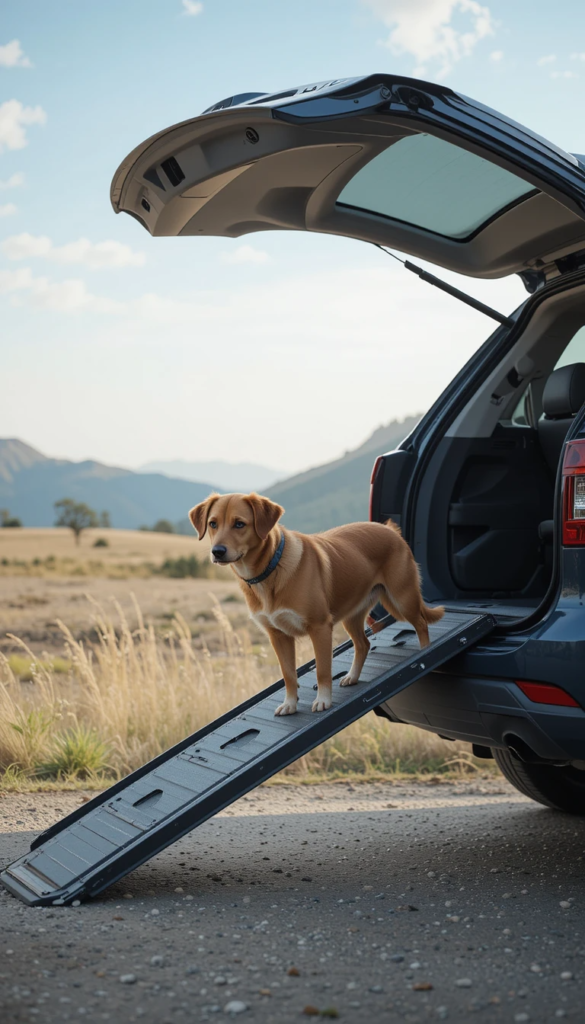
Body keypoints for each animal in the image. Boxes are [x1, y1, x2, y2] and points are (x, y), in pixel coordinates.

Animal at [189, 491, 446, 716]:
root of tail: (389, 529)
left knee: (421, 624)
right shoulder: (278, 636)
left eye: (239, 524)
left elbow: (322, 670)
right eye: (213, 524)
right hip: (353, 616)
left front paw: (323, 700)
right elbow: (288, 675)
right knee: (363, 644)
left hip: (402, 600)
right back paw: (352, 676)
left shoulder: (320, 628)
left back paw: (425, 652)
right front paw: (290, 704)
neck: (270, 569)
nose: (217, 551)